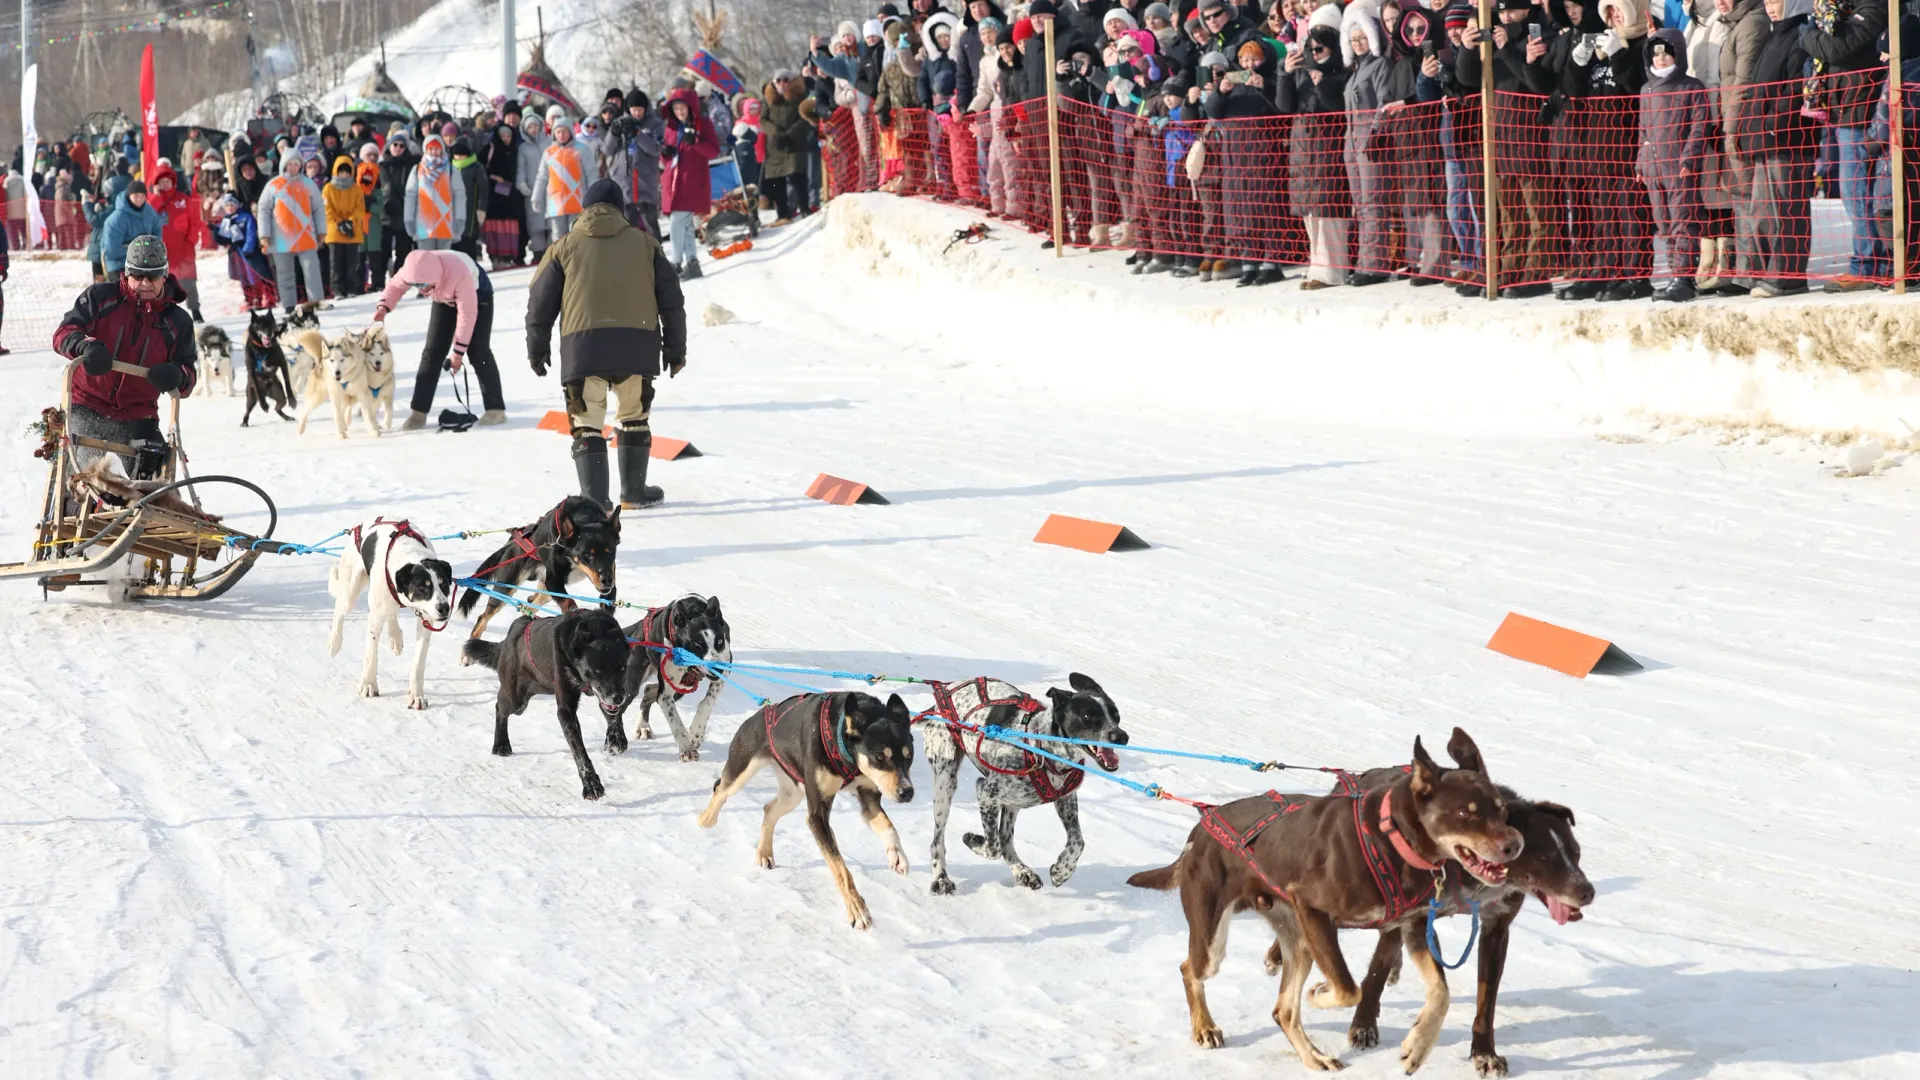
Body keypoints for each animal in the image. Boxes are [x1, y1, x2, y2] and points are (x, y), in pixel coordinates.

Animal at [456, 495, 622, 634]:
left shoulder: (609, 579)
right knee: (484, 617)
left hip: (545, 590)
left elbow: (609, 599)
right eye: (586, 555)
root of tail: (513, 542)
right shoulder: (553, 581)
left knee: (530, 606)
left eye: (610, 552)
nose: (606, 580)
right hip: (506, 586)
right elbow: (569, 602)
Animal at [456, 607, 629, 799]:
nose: (618, 697)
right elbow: (578, 749)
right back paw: (501, 744)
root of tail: (512, 633)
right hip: (516, 700)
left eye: (622, 667)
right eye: (597, 671)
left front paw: (616, 738)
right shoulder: (566, 709)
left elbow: (612, 714)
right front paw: (590, 783)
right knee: (499, 709)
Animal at [606, 595, 733, 757]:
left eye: (720, 641)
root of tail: (640, 626)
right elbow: (675, 721)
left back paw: (643, 726)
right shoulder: (665, 695)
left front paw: (696, 733)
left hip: (681, 688)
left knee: (649, 690)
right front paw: (686, 748)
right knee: (617, 709)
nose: (717, 667)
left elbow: (707, 702)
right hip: (633, 685)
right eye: (697, 644)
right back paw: (616, 740)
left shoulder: (725, 667)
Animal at [917, 672, 1121, 891]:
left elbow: (1077, 841)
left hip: (1012, 804)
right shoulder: (985, 792)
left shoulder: (1066, 800)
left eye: (1116, 715)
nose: (1121, 736)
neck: (1040, 746)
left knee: (1006, 841)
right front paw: (974, 841)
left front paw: (1062, 871)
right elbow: (992, 847)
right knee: (938, 842)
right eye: (1087, 717)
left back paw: (1022, 871)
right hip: (945, 784)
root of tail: (939, 702)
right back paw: (941, 878)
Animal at [1128, 726, 1520, 1068]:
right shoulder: (1312, 907)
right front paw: (1321, 993)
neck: (1390, 838)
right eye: (1465, 813)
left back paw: (1314, 1057)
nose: (1515, 845)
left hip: (1299, 941)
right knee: (1190, 969)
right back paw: (1205, 1027)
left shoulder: (1411, 926)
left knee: (1284, 1011)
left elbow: (1440, 992)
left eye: (1502, 810)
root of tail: (1201, 829)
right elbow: (1349, 989)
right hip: (1219, 939)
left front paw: (1418, 1045)